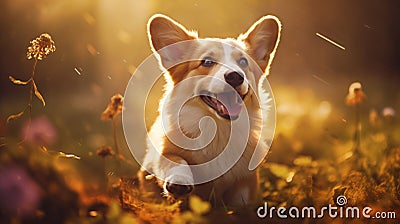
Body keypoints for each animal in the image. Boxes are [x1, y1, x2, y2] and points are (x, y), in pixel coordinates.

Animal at [138, 14, 282, 206]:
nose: (235, 76)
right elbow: (175, 161)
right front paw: (179, 181)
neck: (218, 130)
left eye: (243, 62)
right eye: (207, 62)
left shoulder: (246, 182)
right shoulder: (162, 153)